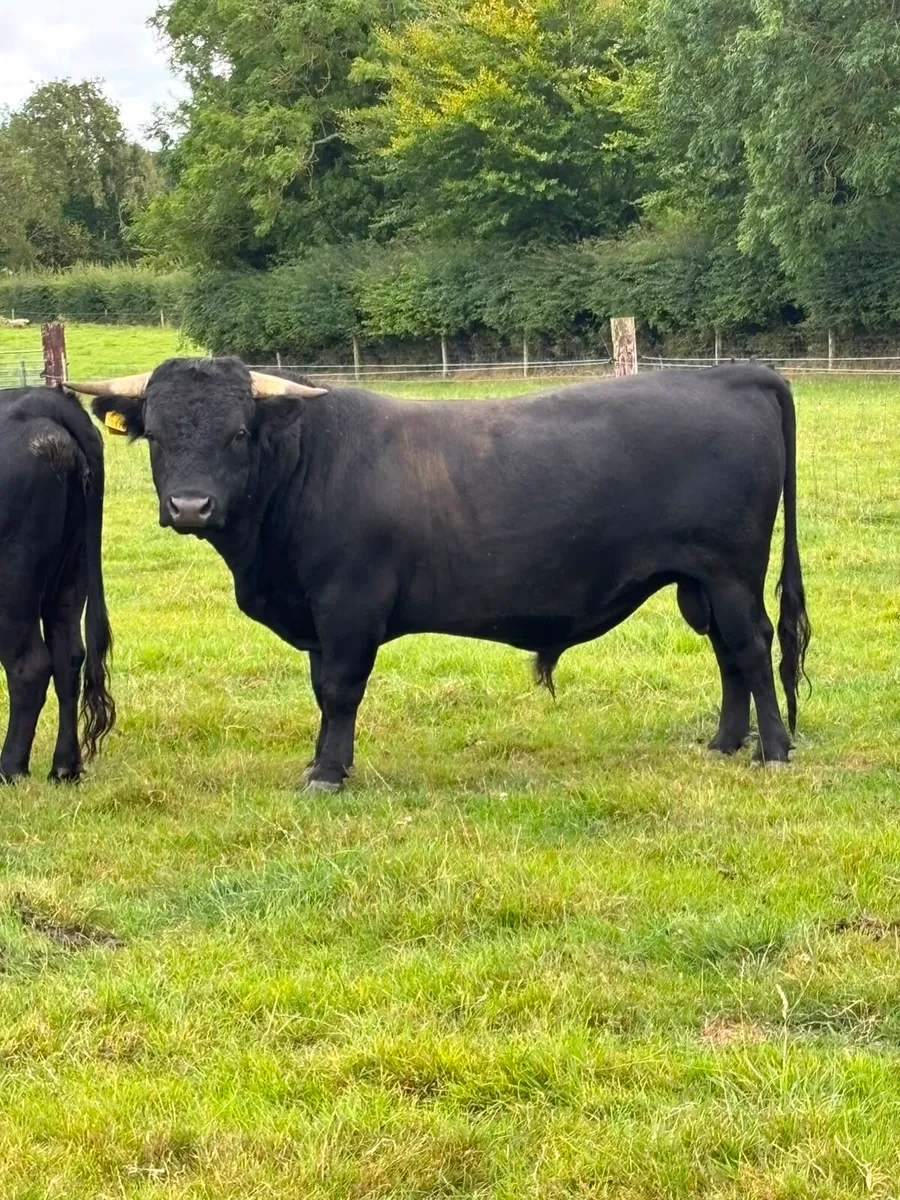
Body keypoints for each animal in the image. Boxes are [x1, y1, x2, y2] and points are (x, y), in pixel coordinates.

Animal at [0, 387, 115, 782]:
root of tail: (44, 400)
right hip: (72, 571)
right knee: (69, 656)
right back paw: (65, 766)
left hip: (14, 580)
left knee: (30, 665)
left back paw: (11, 767)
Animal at [73, 357, 810, 792]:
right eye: (158, 434)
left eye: (238, 433)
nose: (190, 506)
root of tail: (729, 373)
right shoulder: (317, 616)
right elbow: (320, 691)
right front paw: (322, 760)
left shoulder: (349, 605)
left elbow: (339, 690)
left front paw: (329, 772)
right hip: (702, 582)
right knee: (728, 656)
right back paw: (723, 743)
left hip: (731, 572)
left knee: (751, 648)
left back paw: (772, 750)